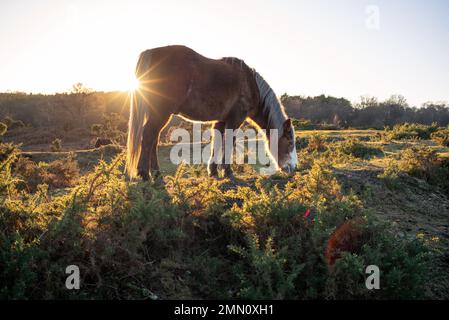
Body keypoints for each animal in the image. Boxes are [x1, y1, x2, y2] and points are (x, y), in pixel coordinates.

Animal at [125, 44, 298, 180]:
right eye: (290, 143)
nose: (293, 167)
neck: (250, 83)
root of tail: (151, 53)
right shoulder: (236, 119)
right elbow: (229, 142)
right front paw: (227, 171)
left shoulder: (221, 121)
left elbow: (217, 141)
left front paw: (213, 171)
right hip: (161, 113)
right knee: (148, 136)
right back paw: (144, 174)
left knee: (153, 139)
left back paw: (155, 174)